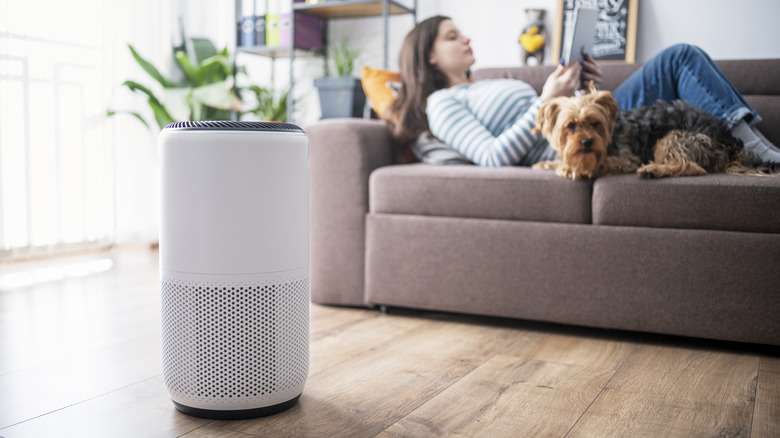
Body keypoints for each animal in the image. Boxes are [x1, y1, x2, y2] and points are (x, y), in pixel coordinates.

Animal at [532, 83, 780, 179]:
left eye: (595, 123)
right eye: (571, 126)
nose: (586, 142)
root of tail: (730, 141)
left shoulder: (626, 158)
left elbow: (602, 162)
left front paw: (575, 169)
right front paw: (547, 164)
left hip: (674, 137)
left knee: (691, 166)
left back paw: (653, 169)